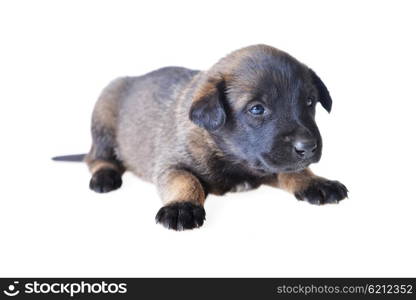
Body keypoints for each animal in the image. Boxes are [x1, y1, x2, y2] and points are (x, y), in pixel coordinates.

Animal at [54, 44, 348, 231]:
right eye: (257, 109)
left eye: (309, 102)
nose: (308, 147)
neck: (231, 156)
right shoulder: (171, 165)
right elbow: (186, 180)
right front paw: (182, 205)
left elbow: (294, 171)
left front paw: (315, 182)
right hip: (103, 114)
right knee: (97, 158)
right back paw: (105, 176)